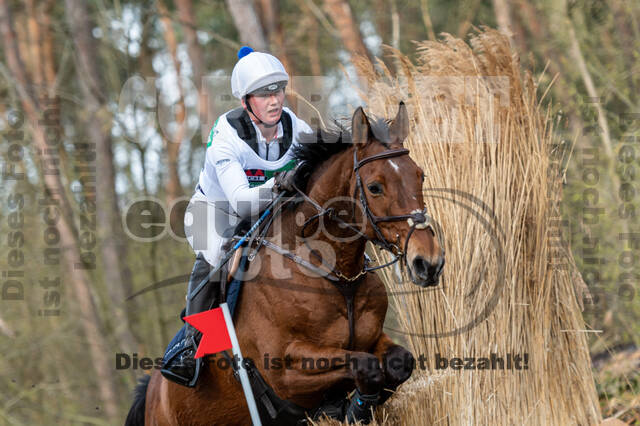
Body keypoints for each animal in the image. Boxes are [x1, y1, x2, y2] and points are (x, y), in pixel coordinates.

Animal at [125, 104, 444, 426]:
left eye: (420, 176)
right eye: (375, 187)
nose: (428, 262)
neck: (337, 276)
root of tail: (152, 391)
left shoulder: (374, 338)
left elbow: (399, 362)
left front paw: (350, 408)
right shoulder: (285, 373)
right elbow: (366, 367)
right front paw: (350, 409)